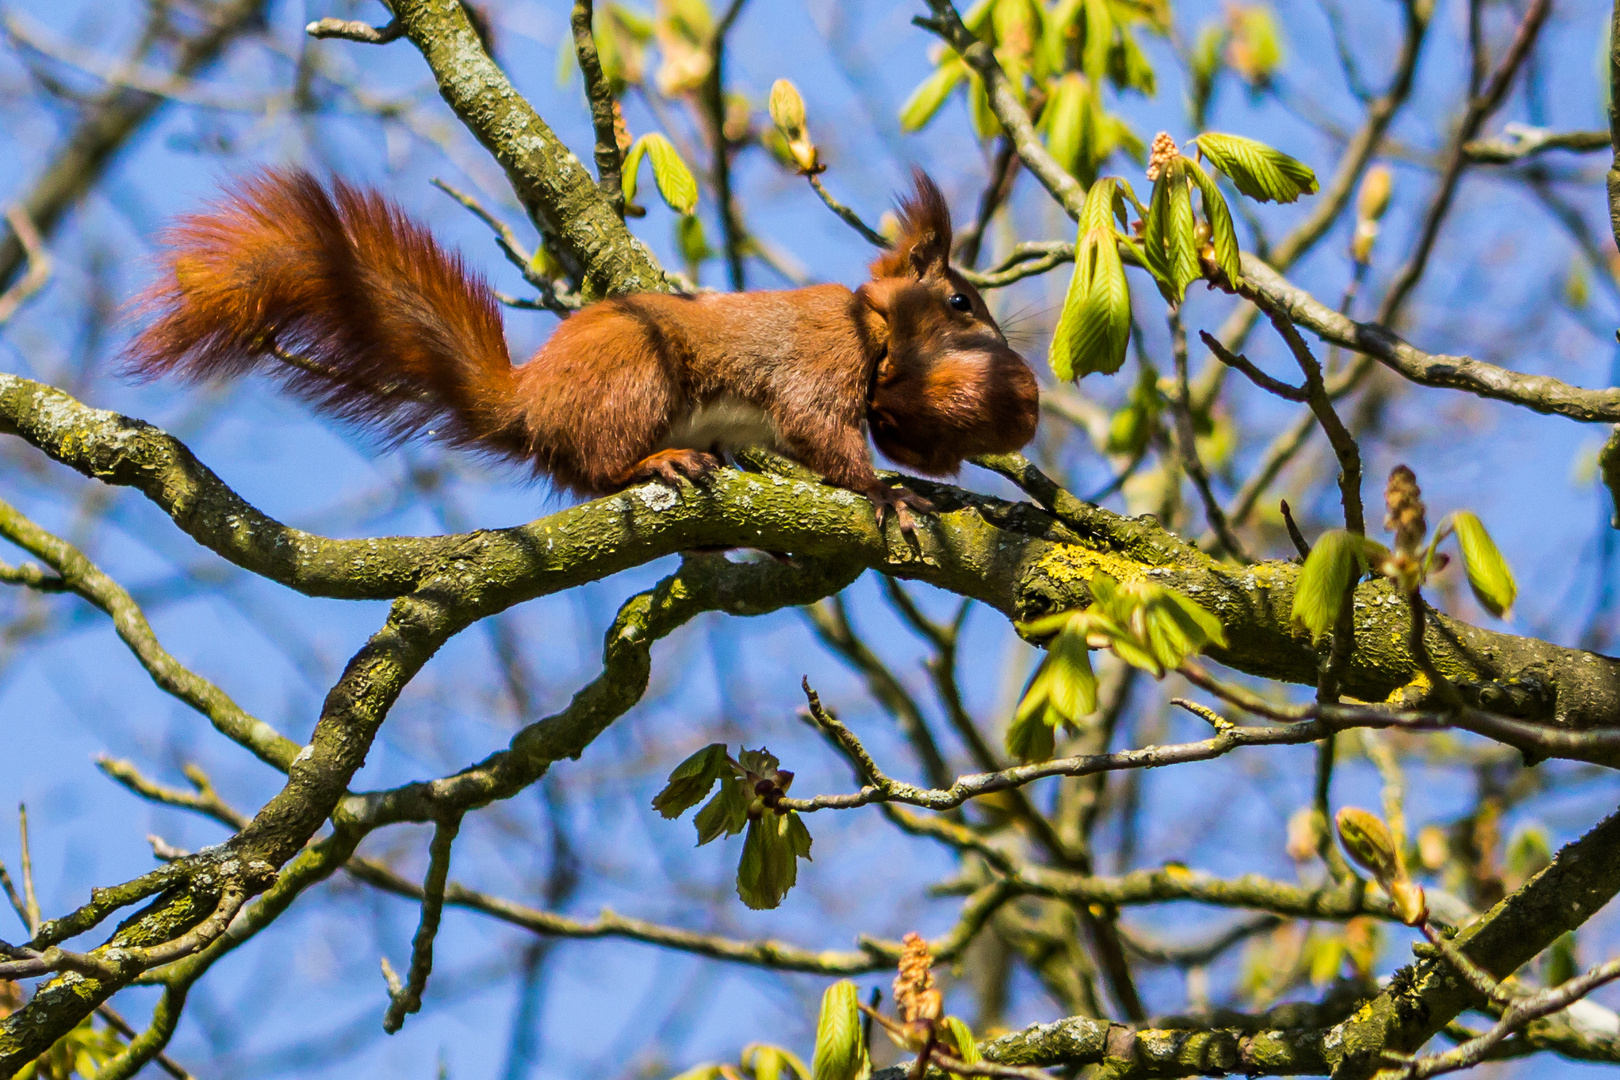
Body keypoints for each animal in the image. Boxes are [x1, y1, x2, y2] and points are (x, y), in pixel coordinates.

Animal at [129, 165, 1036, 531]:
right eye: (960, 301)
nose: (1006, 349)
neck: (870, 326)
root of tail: (526, 403)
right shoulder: (821, 360)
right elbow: (819, 431)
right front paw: (888, 493)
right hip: (636, 378)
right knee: (600, 469)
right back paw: (658, 463)